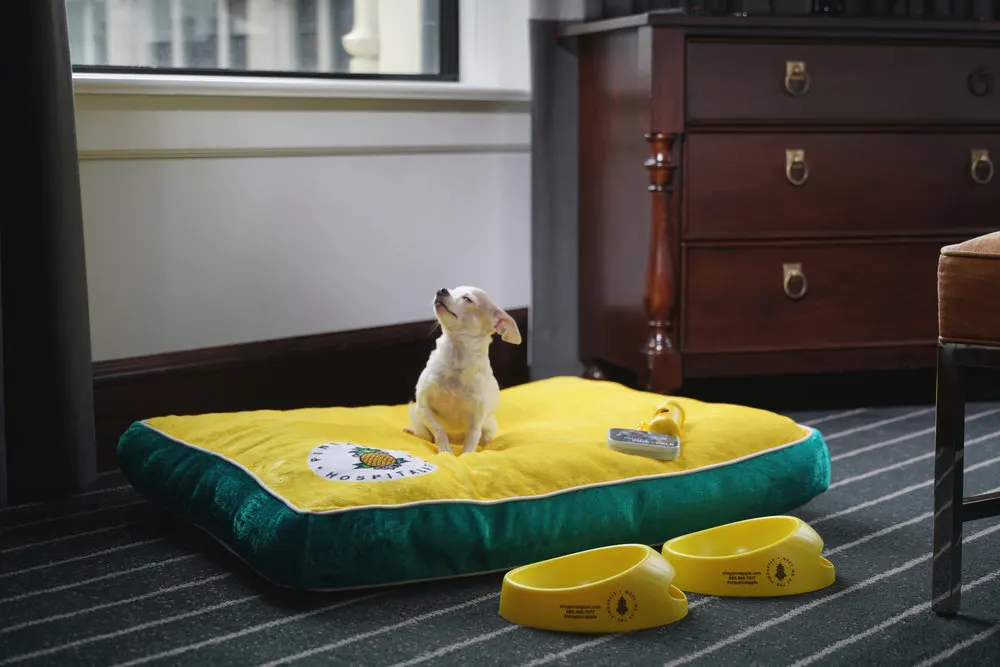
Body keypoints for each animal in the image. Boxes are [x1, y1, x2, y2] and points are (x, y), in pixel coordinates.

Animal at [404, 284, 524, 456]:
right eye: (452, 290)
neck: (456, 355)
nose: (441, 290)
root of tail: (456, 440)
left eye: (467, 299)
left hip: (489, 429)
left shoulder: (475, 423)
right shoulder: (422, 407)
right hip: (420, 424)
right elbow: (439, 429)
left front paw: (465, 457)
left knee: (483, 440)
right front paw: (445, 450)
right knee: (425, 436)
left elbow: (470, 444)